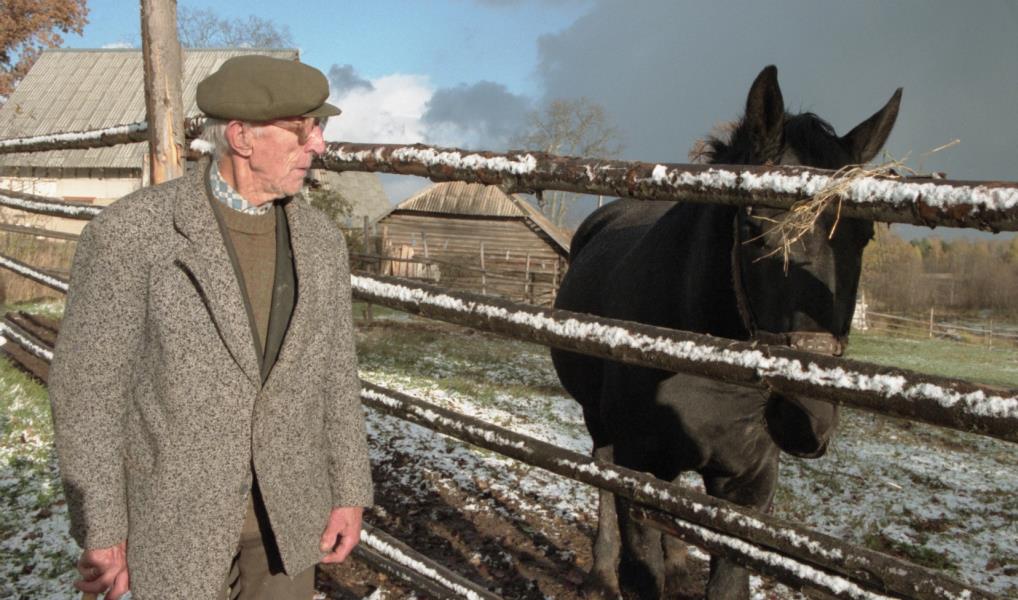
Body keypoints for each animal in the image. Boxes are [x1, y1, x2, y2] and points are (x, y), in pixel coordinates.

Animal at [551, 65, 900, 599]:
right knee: (604, 479)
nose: (809, 419)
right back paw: (600, 576)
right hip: (599, 422)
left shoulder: (749, 488)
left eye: (865, 235)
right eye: (755, 227)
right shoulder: (638, 467)